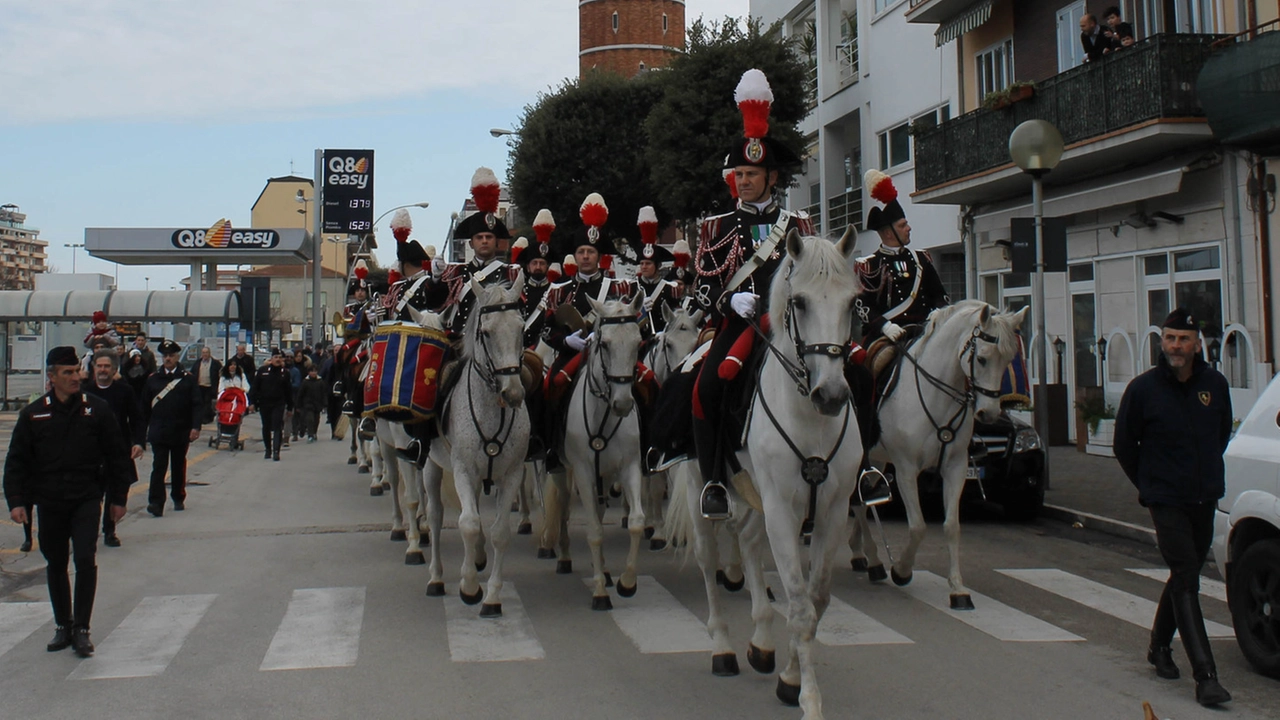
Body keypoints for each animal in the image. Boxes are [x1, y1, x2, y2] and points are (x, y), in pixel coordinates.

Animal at [419, 275, 529, 609]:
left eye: (521, 328)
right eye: (486, 332)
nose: (513, 394)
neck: (492, 410)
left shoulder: (512, 474)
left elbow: (500, 532)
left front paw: (492, 596)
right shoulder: (464, 470)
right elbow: (467, 523)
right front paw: (469, 587)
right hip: (432, 466)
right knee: (436, 515)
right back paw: (436, 578)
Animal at [547, 292, 645, 604]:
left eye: (638, 342)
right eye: (604, 344)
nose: (623, 404)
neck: (603, 415)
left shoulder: (629, 468)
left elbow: (636, 521)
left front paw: (627, 581)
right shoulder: (583, 471)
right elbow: (593, 530)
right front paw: (600, 593)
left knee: (600, 513)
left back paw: (604, 570)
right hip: (563, 472)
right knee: (565, 507)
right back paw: (565, 557)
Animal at [675, 228, 865, 717]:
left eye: (852, 301)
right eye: (799, 302)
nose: (831, 396)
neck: (810, 419)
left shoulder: (832, 510)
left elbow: (816, 600)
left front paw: (790, 679)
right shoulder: (782, 508)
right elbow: (798, 605)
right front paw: (809, 699)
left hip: (759, 497)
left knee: (746, 541)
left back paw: (760, 642)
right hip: (701, 487)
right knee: (708, 558)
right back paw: (723, 648)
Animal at [849, 299, 1029, 607]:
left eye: (1007, 361)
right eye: (982, 359)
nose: (989, 414)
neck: (938, 395)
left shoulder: (955, 467)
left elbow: (952, 525)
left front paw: (958, 589)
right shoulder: (906, 470)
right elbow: (918, 526)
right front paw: (902, 571)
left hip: (878, 460)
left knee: (863, 498)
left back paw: (860, 553)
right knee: (859, 503)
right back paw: (873, 559)